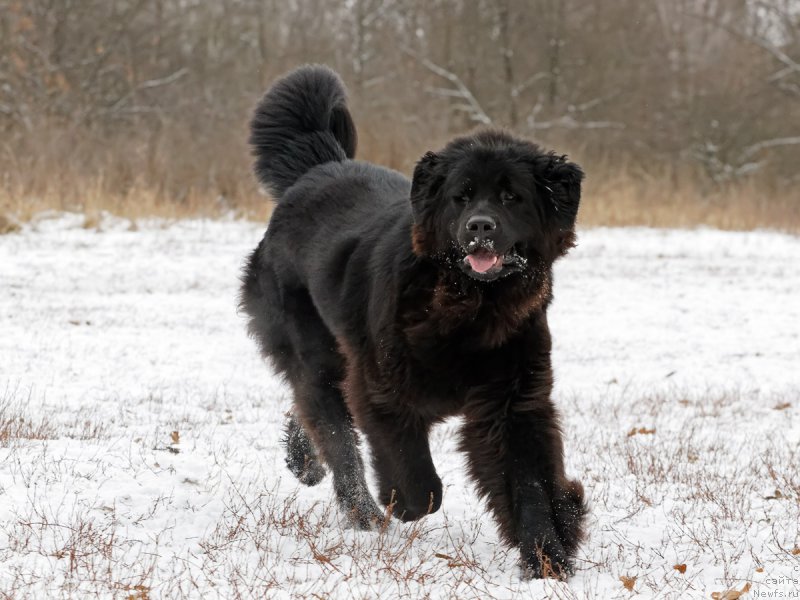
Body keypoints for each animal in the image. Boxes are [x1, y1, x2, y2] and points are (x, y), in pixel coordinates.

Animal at [241, 64, 584, 576]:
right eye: (461, 197)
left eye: (512, 197)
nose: (480, 227)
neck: (470, 310)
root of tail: (317, 168)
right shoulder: (383, 385)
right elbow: (420, 485)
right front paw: (400, 502)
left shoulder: (512, 399)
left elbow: (529, 482)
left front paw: (549, 557)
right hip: (314, 347)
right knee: (334, 430)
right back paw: (363, 512)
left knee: (310, 409)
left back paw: (304, 462)